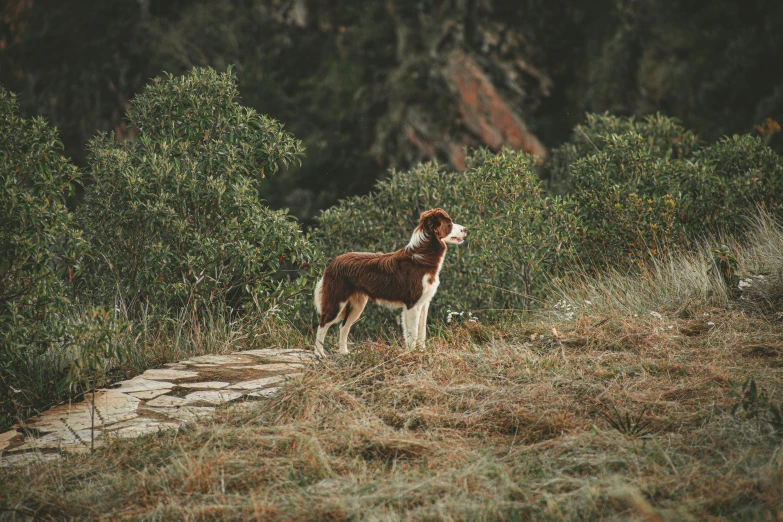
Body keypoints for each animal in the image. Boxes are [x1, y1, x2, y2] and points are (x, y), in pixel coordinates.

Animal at [316, 209, 468, 356]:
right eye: (449, 222)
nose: (466, 229)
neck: (424, 255)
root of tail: (332, 263)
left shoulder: (424, 303)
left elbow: (421, 331)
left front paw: (422, 351)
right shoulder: (412, 303)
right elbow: (412, 332)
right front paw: (412, 353)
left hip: (357, 305)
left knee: (344, 326)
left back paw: (344, 353)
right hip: (336, 301)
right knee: (322, 325)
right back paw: (320, 355)